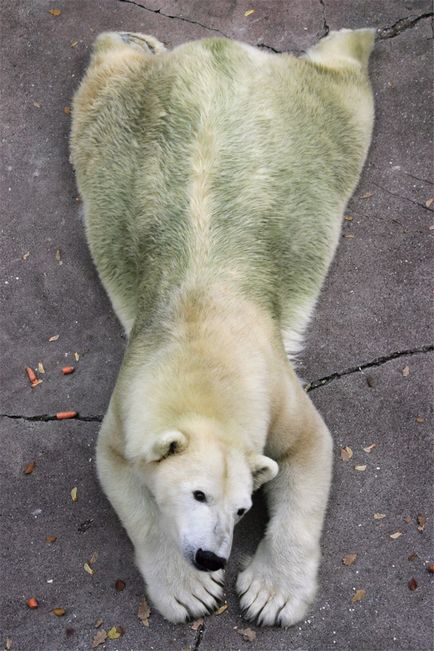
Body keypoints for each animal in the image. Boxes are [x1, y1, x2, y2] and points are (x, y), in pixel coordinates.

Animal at [69, 29, 374, 628]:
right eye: (197, 495)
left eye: (241, 507)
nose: (212, 558)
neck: (202, 340)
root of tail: (216, 48)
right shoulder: (127, 401)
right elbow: (117, 471)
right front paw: (189, 591)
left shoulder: (277, 389)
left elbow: (310, 449)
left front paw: (269, 595)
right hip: (113, 134)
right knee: (103, 83)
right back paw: (131, 39)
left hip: (311, 129)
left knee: (344, 96)